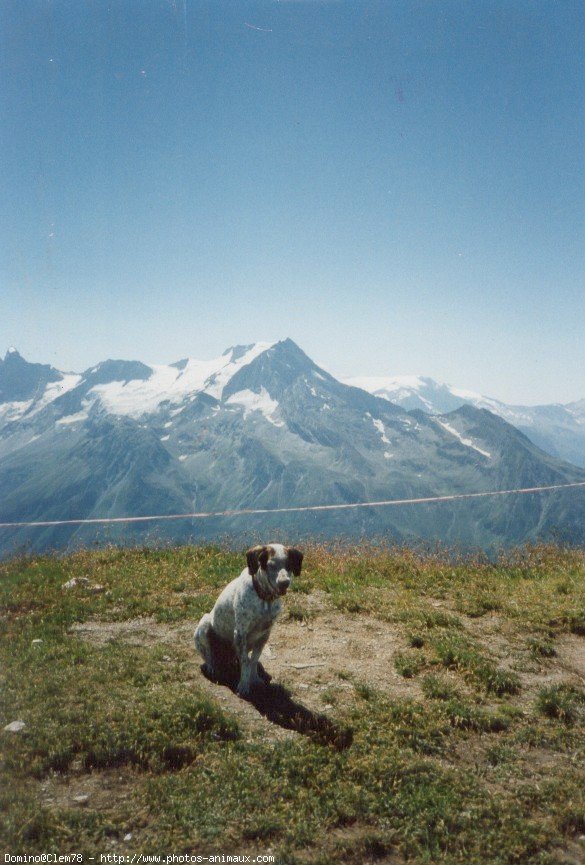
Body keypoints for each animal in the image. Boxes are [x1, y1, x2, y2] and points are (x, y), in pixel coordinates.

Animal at [194, 544, 304, 700]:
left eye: (289, 565)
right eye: (270, 565)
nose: (284, 583)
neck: (264, 599)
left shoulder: (265, 634)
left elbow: (253, 660)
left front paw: (254, 679)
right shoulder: (240, 633)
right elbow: (246, 661)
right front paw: (244, 685)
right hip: (203, 625)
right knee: (209, 656)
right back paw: (212, 668)